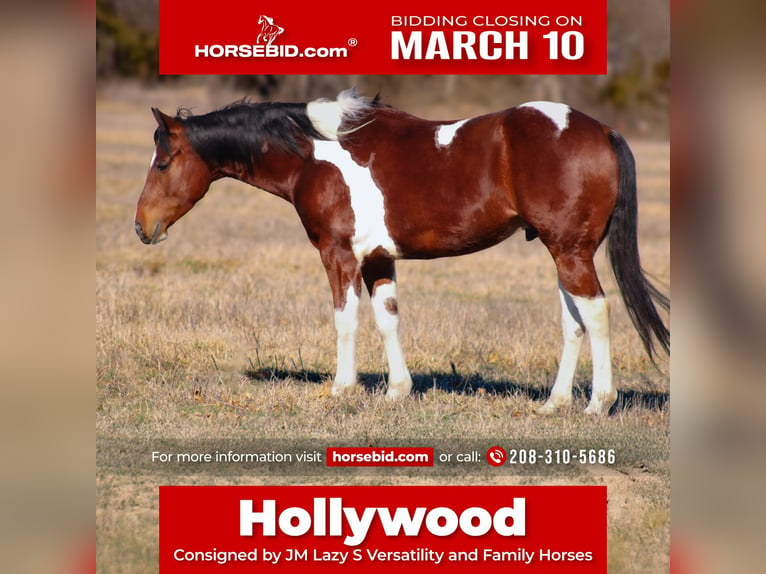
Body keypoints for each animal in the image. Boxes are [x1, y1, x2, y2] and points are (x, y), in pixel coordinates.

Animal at [135, 90, 668, 416]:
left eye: (163, 163)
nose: (142, 227)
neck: (316, 154)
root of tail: (601, 130)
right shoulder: (378, 258)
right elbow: (388, 319)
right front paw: (396, 391)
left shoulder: (339, 255)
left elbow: (345, 319)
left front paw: (341, 388)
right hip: (563, 253)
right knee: (572, 321)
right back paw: (554, 403)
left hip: (572, 253)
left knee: (596, 313)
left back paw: (598, 402)